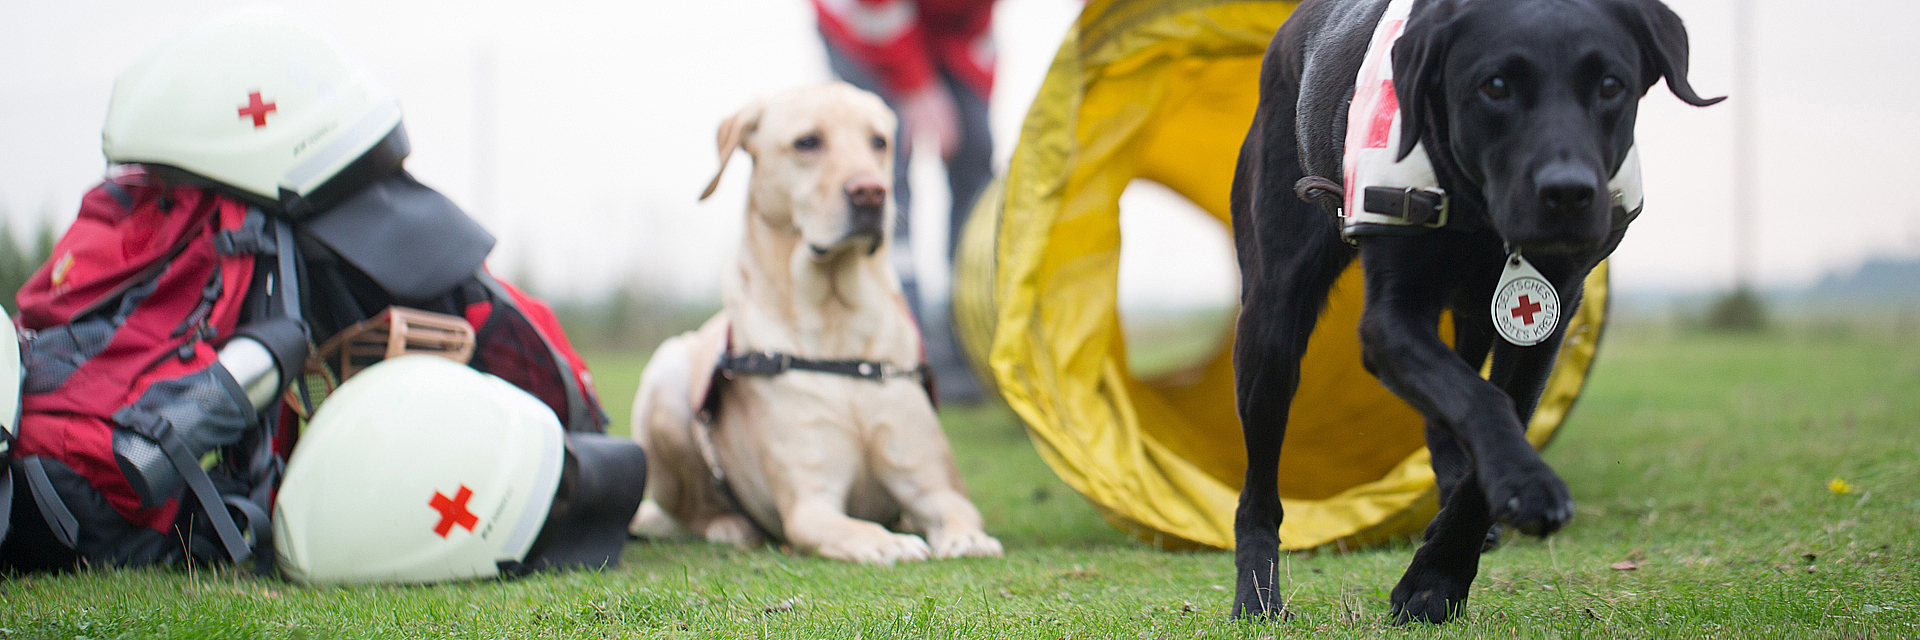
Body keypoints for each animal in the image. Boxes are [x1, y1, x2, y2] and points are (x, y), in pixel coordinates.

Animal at [1228, 0, 1728, 622]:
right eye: (1495, 86)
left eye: (1612, 85)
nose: (1568, 193)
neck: (1483, 216)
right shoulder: (1390, 320)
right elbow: (1480, 399)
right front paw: (1525, 488)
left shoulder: (1545, 318)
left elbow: (1496, 408)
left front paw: (1436, 579)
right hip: (1271, 323)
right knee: (1258, 491)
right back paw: (1257, 595)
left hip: (1472, 318)